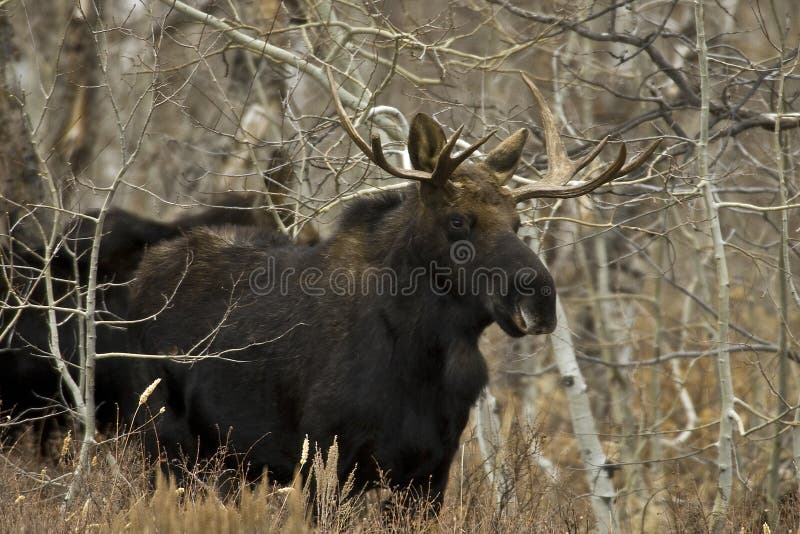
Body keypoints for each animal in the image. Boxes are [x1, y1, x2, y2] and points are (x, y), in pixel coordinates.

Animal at [125, 72, 656, 510]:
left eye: (518, 222)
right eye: (458, 220)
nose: (539, 297)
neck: (424, 358)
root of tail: (140, 275)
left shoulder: (430, 471)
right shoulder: (323, 461)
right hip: (164, 442)